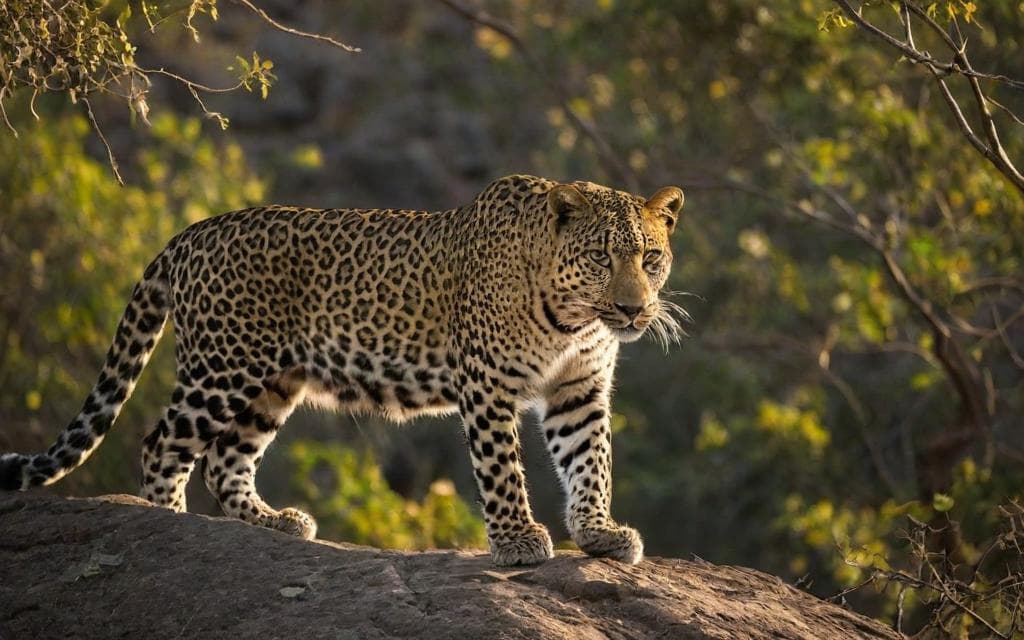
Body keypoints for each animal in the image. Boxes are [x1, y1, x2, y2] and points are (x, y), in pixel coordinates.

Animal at [0, 174, 687, 566]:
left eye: (650, 258)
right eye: (601, 258)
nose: (635, 308)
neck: (574, 317)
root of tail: (191, 232)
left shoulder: (579, 387)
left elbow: (590, 462)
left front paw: (598, 533)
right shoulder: (488, 383)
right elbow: (501, 468)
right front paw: (518, 539)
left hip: (273, 382)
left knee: (226, 461)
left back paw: (275, 525)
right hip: (222, 368)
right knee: (161, 445)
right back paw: (171, 526)